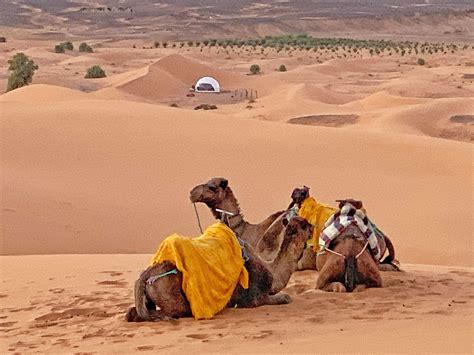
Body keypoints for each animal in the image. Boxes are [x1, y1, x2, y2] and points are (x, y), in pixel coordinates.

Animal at [124, 217, 312, 322]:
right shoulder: (254, 298)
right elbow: (286, 298)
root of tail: (146, 275)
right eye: (306, 225)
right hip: (171, 297)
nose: (313, 228)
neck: (271, 270)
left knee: (133, 312)